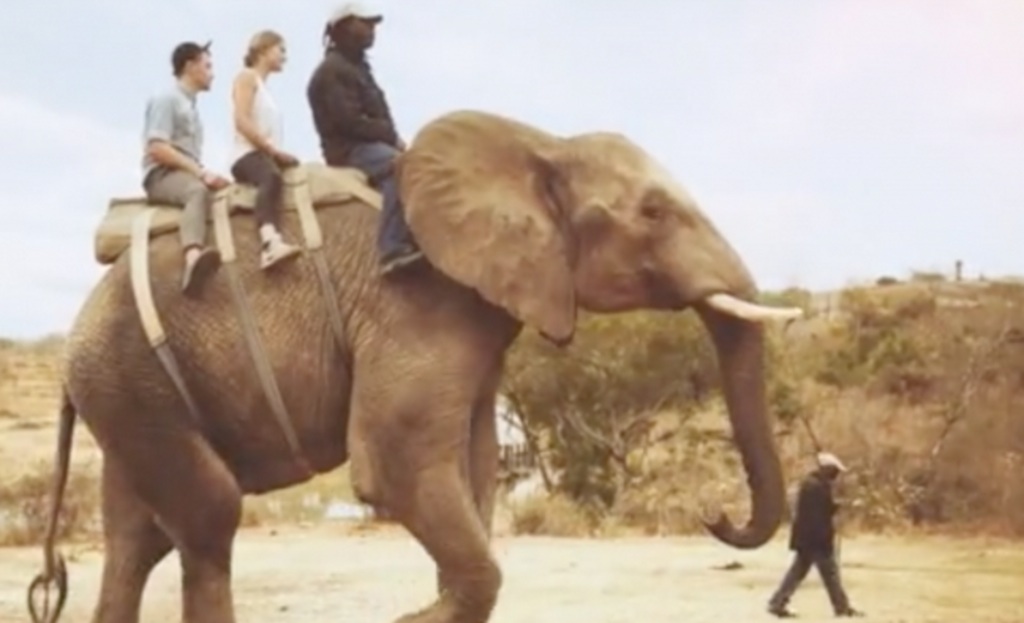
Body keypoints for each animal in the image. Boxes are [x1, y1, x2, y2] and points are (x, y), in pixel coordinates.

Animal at [29, 109, 802, 623]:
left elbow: (475, 467)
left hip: (126, 385)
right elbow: (396, 463)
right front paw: (417, 615)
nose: (714, 512)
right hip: (129, 373)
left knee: (138, 537)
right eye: (653, 214)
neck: (538, 143)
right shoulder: (416, 301)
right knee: (209, 517)